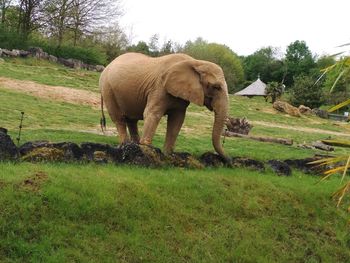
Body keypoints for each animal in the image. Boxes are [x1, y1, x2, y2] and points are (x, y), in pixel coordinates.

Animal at [98, 51, 230, 159]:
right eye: (216, 87)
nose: (229, 160)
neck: (196, 62)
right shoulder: (159, 87)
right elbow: (152, 113)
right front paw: (148, 151)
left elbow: (177, 120)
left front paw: (167, 156)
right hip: (108, 89)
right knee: (119, 119)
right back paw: (125, 147)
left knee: (132, 120)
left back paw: (133, 146)